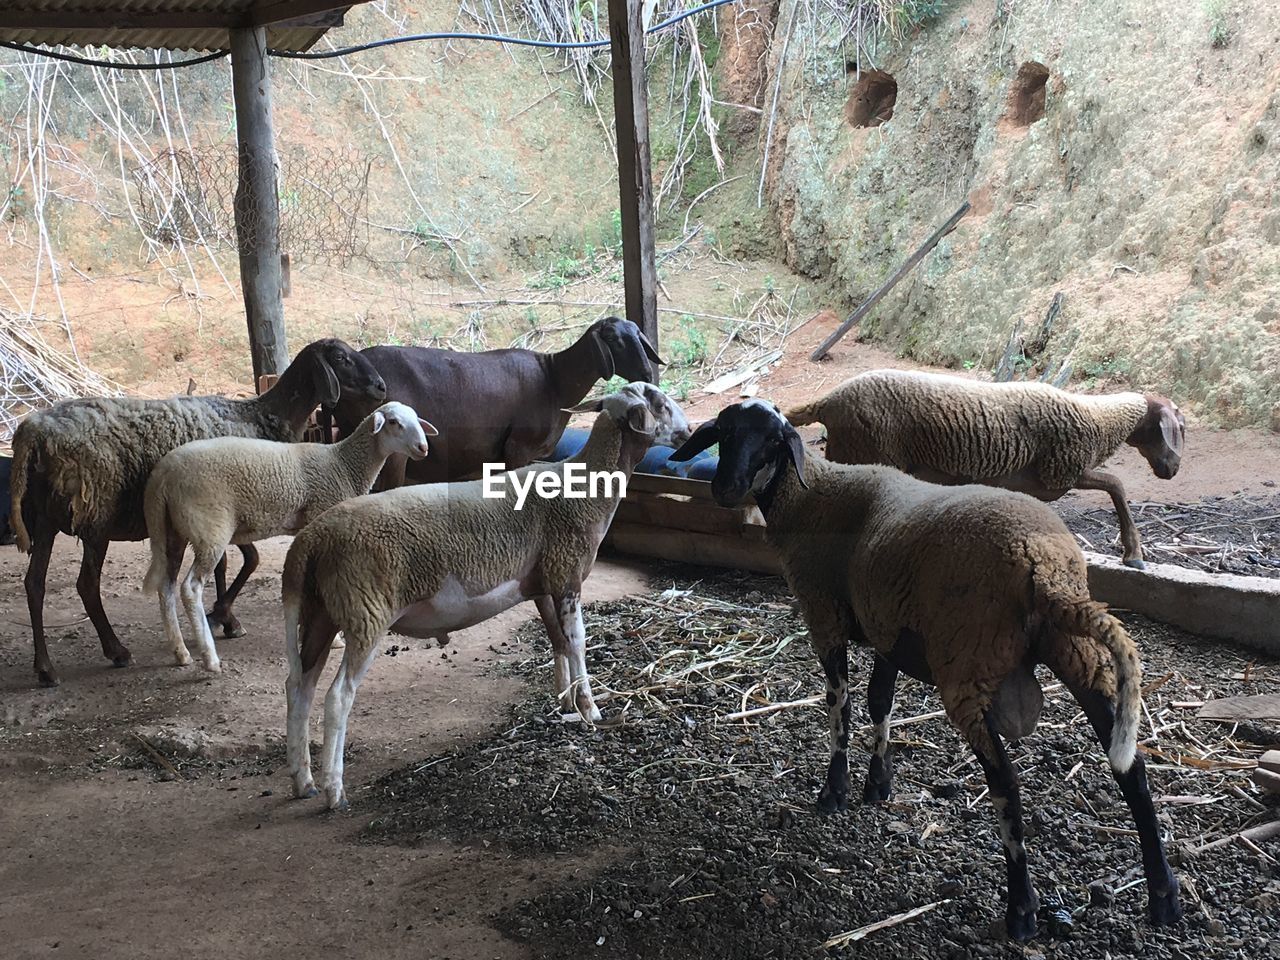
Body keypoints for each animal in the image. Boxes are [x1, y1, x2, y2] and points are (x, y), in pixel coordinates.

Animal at [143, 401, 437, 670]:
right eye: (394, 422)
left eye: (416, 420)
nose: (423, 448)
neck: (343, 464)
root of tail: (162, 475)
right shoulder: (322, 514)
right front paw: (335, 640)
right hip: (209, 528)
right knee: (190, 588)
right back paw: (210, 658)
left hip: (172, 531)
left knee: (166, 587)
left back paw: (181, 652)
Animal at [280, 384, 691, 814]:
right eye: (660, 404)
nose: (689, 432)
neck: (586, 486)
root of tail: (309, 543)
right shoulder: (566, 572)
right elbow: (578, 642)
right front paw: (591, 708)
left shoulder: (541, 582)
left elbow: (557, 640)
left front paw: (565, 703)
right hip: (366, 611)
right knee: (337, 696)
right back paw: (334, 789)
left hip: (321, 612)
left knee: (299, 687)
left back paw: (303, 780)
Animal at [320, 317, 665, 488]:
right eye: (615, 340)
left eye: (638, 336)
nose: (648, 373)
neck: (555, 379)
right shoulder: (518, 448)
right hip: (393, 449)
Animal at [670, 399, 1177, 947]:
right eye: (723, 433)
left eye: (771, 440)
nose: (724, 488)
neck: (810, 496)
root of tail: (1044, 568)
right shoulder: (888, 624)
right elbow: (879, 701)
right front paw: (878, 785)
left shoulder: (824, 614)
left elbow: (840, 706)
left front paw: (835, 791)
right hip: (1078, 655)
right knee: (1132, 771)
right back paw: (1163, 897)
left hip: (969, 665)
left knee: (1006, 784)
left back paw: (1022, 910)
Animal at [788, 371, 1187, 570]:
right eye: (1177, 427)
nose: (1172, 470)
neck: (1100, 421)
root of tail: (827, 400)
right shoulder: (1062, 470)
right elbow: (1117, 484)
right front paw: (1134, 553)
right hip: (871, 451)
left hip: (848, 452)